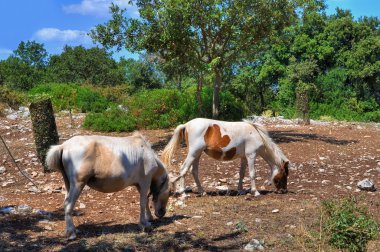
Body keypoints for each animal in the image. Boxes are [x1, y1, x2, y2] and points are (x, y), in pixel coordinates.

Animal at [162, 118, 290, 197]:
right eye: (284, 174)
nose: (284, 190)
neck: (256, 134)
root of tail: (186, 124)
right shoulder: (251, 155)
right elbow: (252, 174)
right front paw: (255, 192)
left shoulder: (244, 158)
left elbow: (242, 173)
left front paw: (240, 190)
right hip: (193, 153)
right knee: (183, 169)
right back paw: (183, 193)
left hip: (197, 154)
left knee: (194, 171)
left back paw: (202, 191)